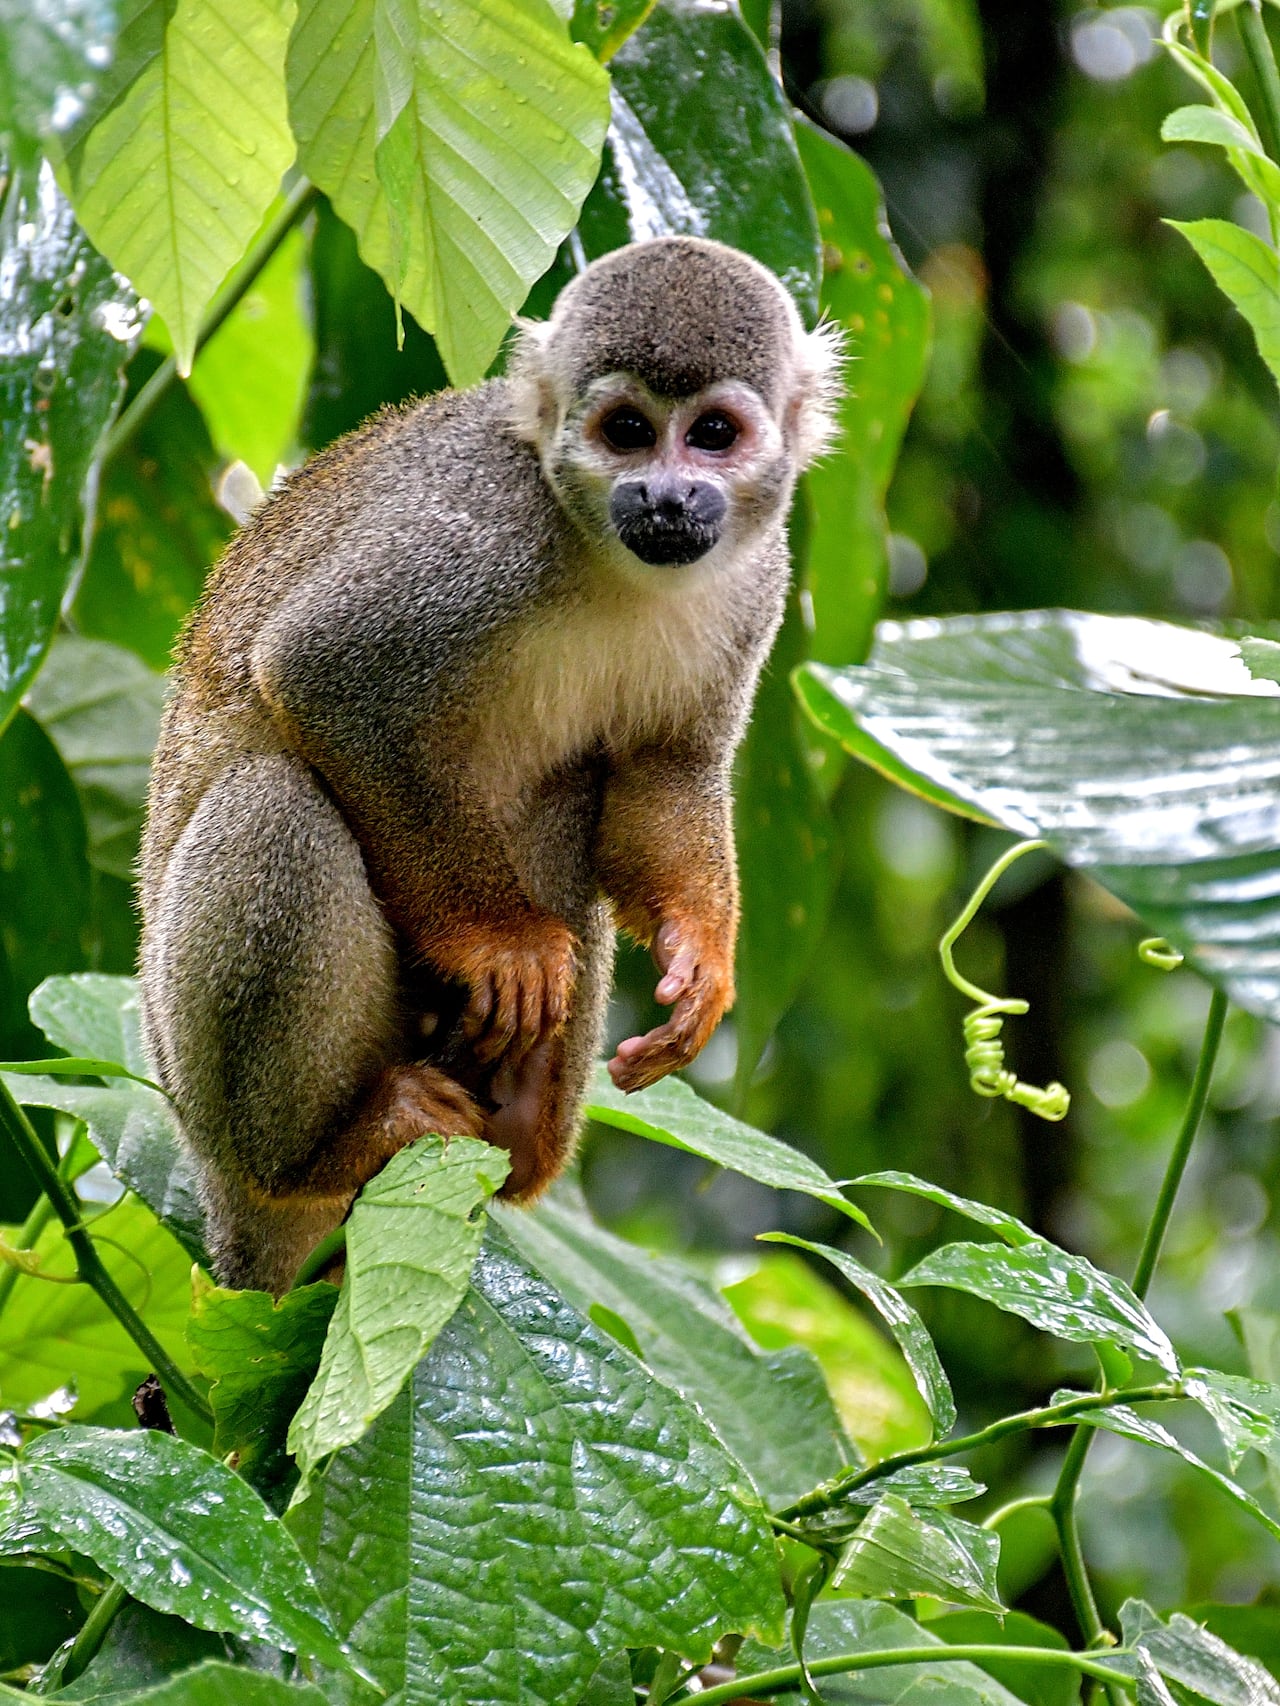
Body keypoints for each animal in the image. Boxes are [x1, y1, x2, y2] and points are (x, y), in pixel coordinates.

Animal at [137, 235, 842, 1295]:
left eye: (713, 434)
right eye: (627, 431)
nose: (667, 495)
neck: (607, 557)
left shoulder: (762, 576)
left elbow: (664, 770)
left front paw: (700, 956)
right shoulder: (481, 534)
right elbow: (322, 670)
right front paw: (501, 944)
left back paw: (512, 1115)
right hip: (189, 1083)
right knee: (275, 799)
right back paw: (319, 1149)